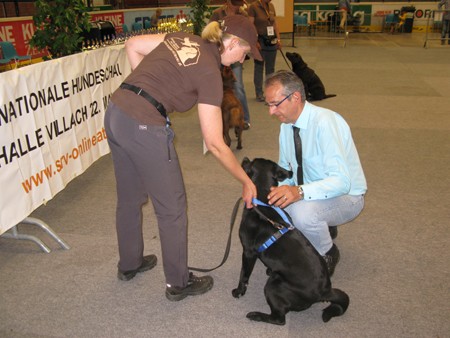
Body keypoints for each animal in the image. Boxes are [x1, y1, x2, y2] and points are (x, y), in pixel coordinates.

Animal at [234, 158, 350, 324]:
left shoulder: (248, 252)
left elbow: (243, 274)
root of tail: (325, 291)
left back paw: (256, 315)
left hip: (274, 286)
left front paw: (239, 291)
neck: (262, 200)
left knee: (279, 319)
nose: (244, 159)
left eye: (251, 162)